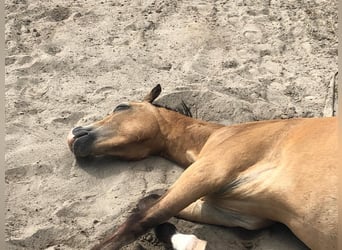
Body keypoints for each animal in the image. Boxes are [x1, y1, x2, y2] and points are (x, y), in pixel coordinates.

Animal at [66, 85, 336, 249]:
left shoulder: (208, 172)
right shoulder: (235, 213)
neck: (218, 135)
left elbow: (143, 218)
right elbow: (150, 203)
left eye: (121, 107)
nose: (75, 133)